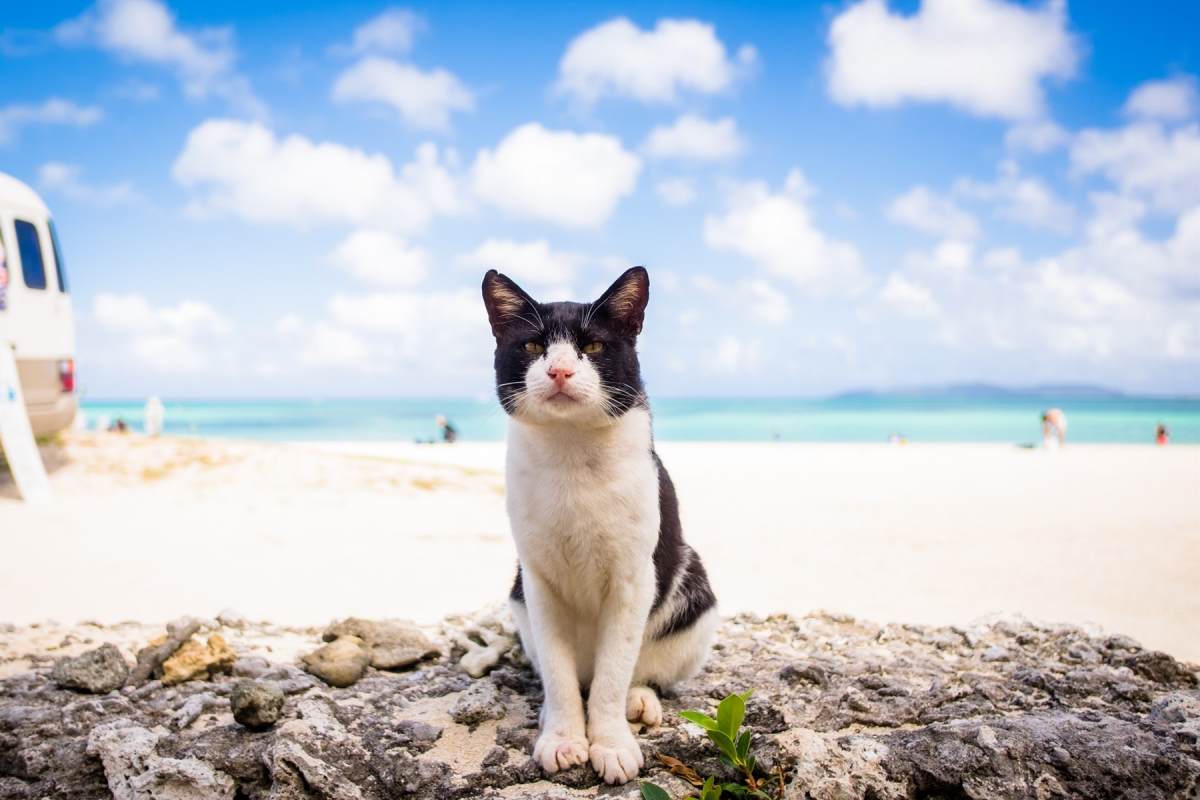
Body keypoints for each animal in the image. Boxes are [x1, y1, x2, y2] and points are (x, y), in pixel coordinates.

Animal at [480, 266, 720, 786]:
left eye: (591, 346)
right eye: (533, 346)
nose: (560, 371)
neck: (572, 453)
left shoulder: (633, 577)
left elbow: (614, 673)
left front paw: (610, 745)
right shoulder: (537, 581)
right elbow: (558, 672)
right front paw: (564, 738)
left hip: (695, 597)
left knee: (639, 669)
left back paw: (639, 700)